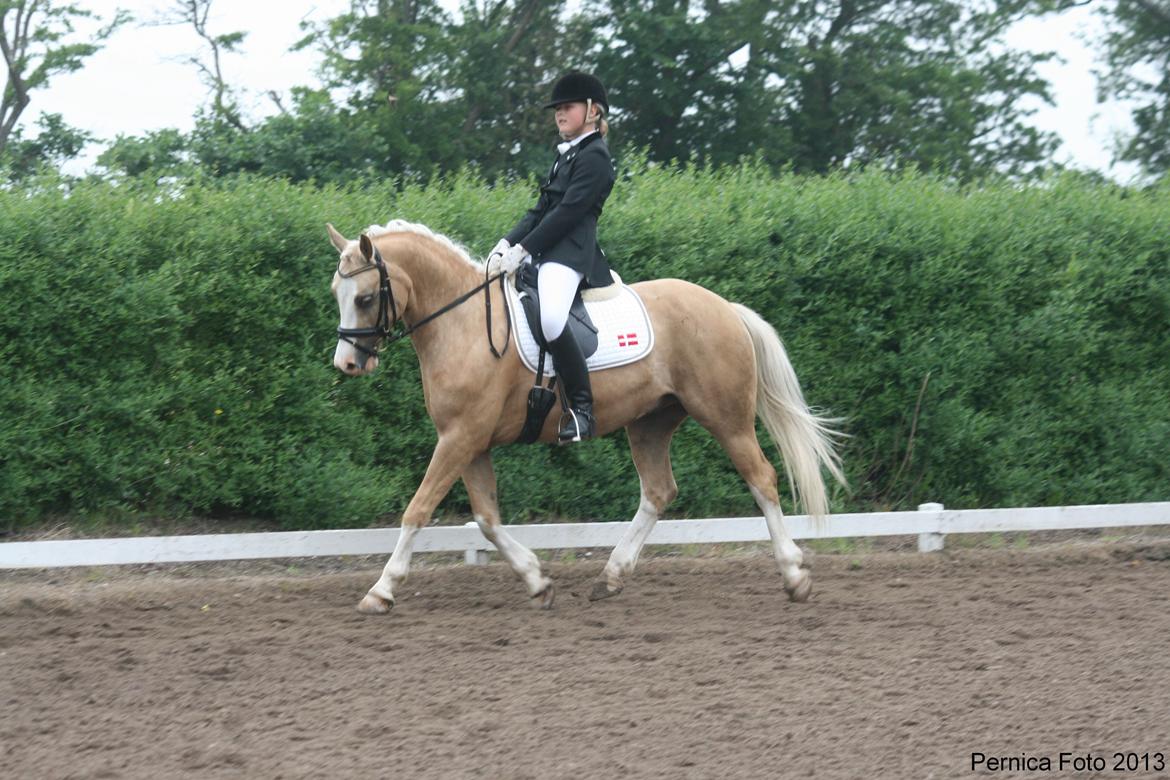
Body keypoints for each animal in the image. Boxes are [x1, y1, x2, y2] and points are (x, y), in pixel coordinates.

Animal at [327, 220, 845, 614]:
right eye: (337, 292)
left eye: (366, 298)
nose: (347, 364)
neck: (465, 324)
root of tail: (725, 308)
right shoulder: (469, 442)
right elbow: (487, 520)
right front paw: (537, 582)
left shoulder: (459, 438)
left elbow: (417, 510)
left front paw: (381, 590)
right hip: (651, 422)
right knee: (659, 492)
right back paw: (610, 577)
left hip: (726, 418)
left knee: (761, 478)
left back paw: (794, 576)